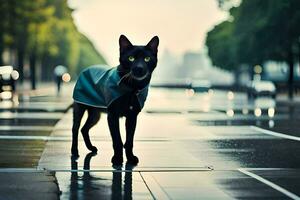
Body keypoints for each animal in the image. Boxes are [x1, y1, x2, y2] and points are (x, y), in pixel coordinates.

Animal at [72, 34, 159, 166]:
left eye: (147, 59)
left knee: (84, 129)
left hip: (95, 114)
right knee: (76, 128)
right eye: (131, 58)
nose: (139, 68)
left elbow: (129, 141)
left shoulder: (132, 117)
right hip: (80, 107)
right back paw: (75, 152)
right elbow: (117, 140)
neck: (132, 88)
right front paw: (117, 159)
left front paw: (130, 158)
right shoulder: (112, 115)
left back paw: (91, 148)